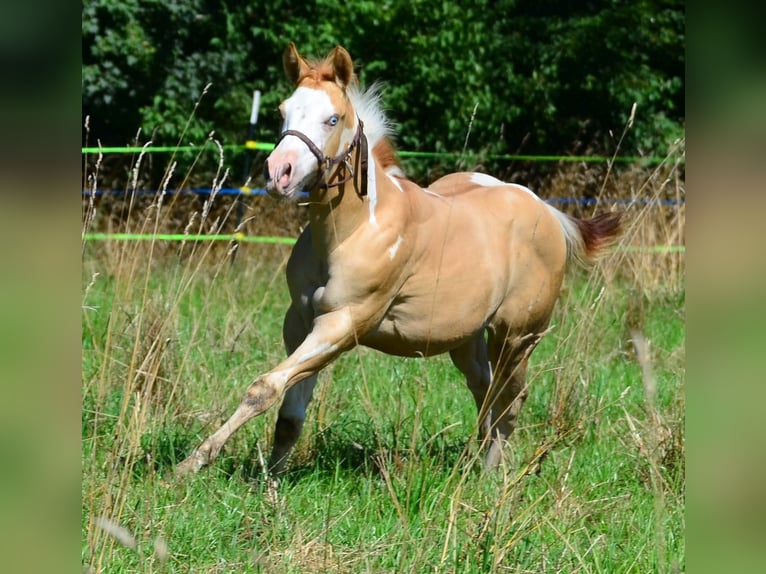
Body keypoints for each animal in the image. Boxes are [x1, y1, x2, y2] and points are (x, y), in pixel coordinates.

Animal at [174, 43, 621, 477]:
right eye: (282, 112)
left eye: (332, 119)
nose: (278, 173)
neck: (353, 230)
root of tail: (547, 211)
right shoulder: (300, 322)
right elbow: (288, 412)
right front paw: (271, 481)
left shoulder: (343, 323)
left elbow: (264, 387)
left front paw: (192, 463)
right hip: (468, 339)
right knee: (486, 391)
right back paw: (478, 461)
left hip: (517, 336)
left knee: (511, 399)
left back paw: (492, 477)